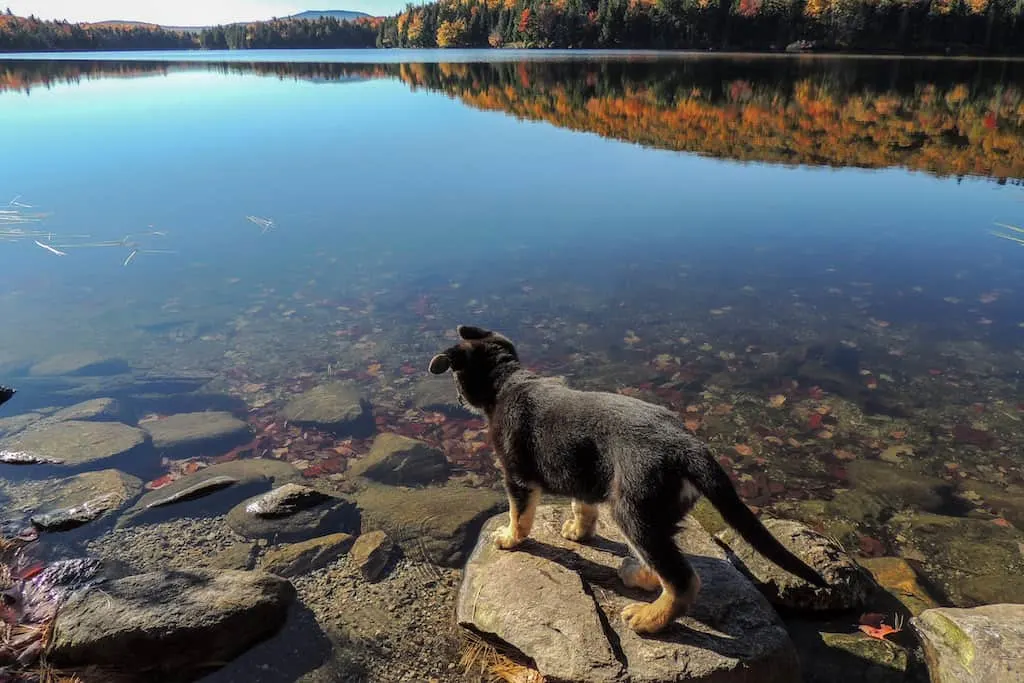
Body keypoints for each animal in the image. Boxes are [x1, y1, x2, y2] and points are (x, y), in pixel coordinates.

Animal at [428, 325, 827, 634]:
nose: (459, 398)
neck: (508, 381)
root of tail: (687, 444)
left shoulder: (517, 476)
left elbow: (519, 515)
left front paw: (510, 539)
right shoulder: (582, 472)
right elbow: (583, 507)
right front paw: (577, 532)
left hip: (632, 509)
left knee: (683, 579)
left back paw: (650, 619)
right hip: (656, 511)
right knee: (664, 562)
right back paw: (640, 576)